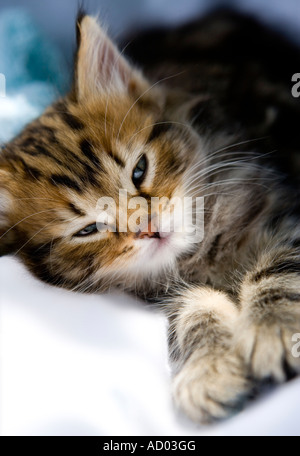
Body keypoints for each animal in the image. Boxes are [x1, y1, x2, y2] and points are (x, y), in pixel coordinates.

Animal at [0, 9, 300, 424]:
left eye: (140, 170)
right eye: (89, 229)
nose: (148, 228)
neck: (201, 252)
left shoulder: (284, 209)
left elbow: (278, 271)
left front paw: (276, 329)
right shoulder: (173, 292)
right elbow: (196, 310)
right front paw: (209, 372)